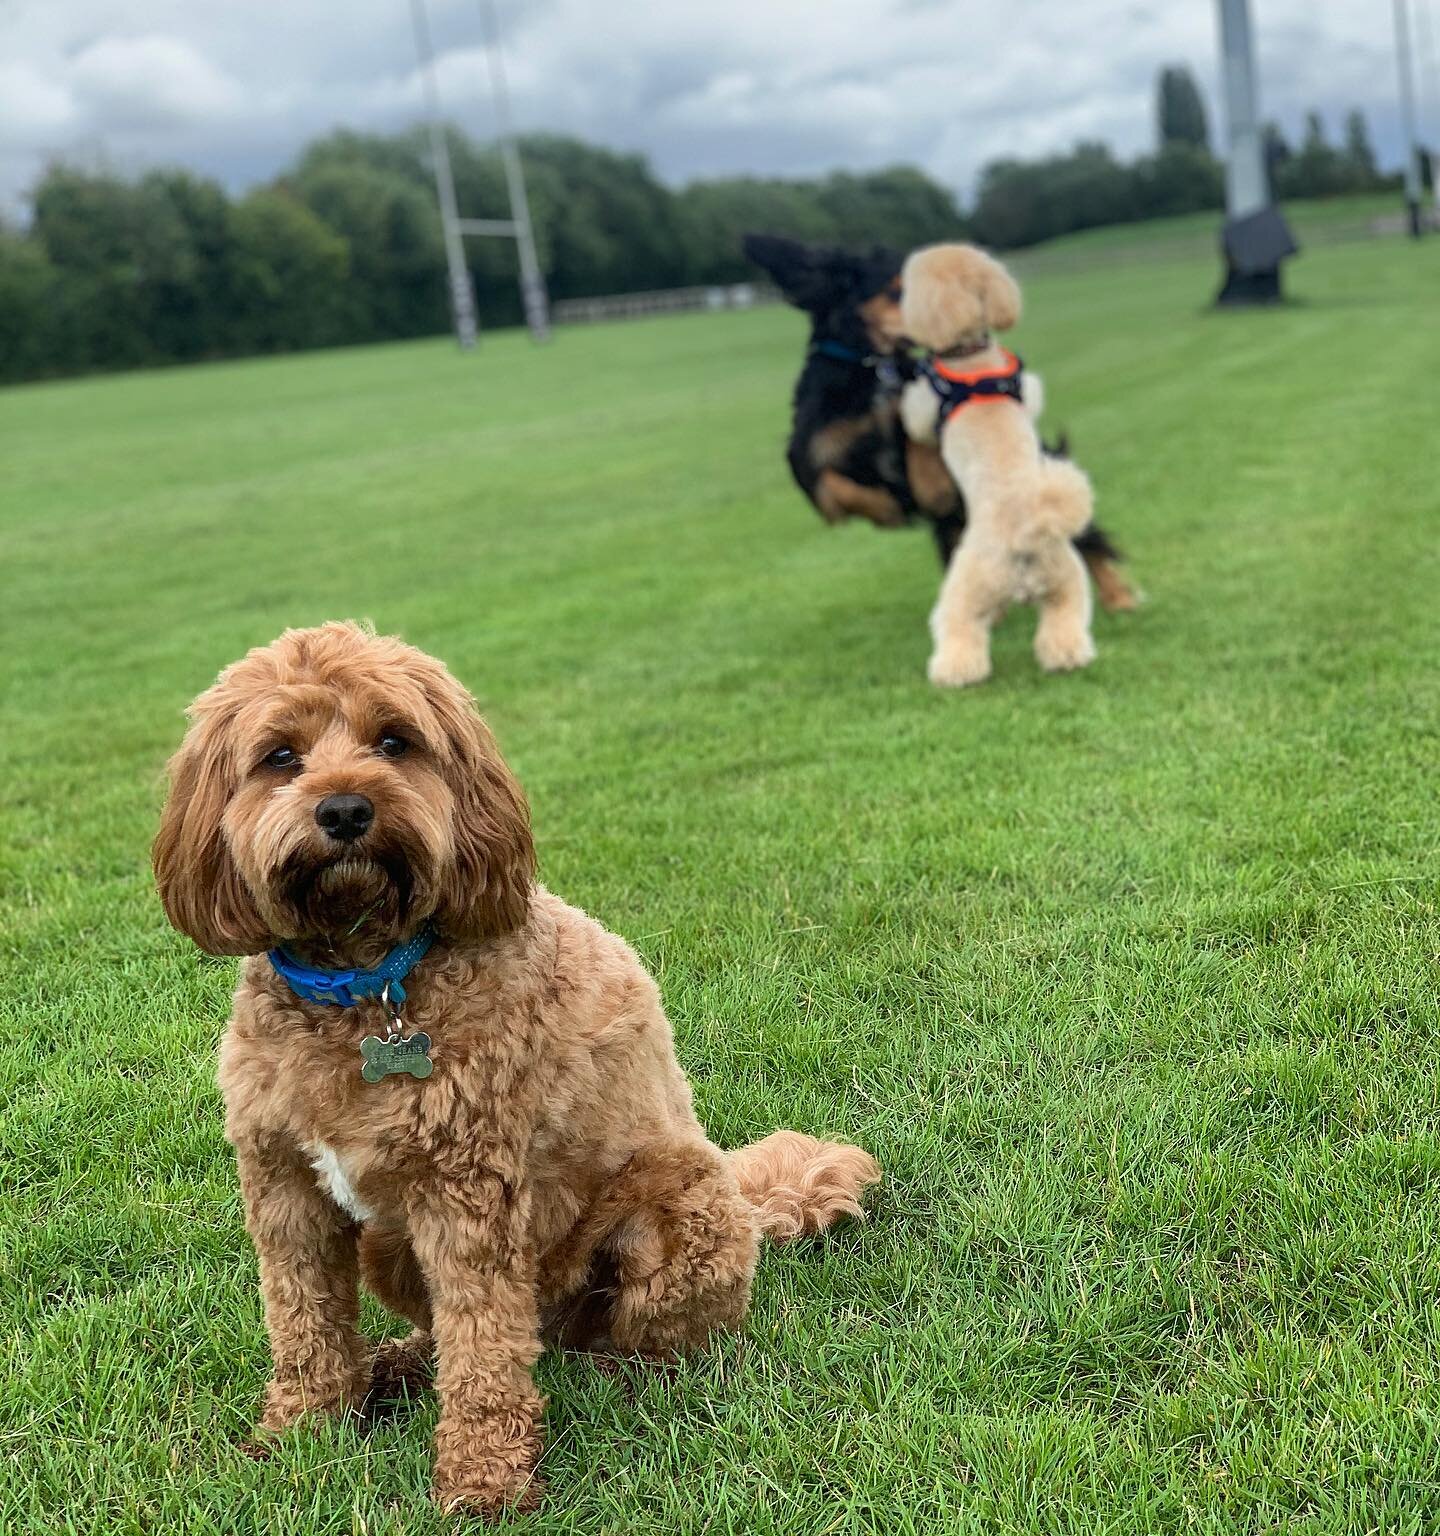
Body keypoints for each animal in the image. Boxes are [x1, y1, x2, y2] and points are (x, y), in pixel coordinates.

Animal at [154, 620, 878, 1511]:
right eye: (280, 756)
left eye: (394, 741)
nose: (347, 808)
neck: (367, 980)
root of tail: (747, 1200)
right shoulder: (285, 1186)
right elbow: (302, 1321)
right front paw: (304, 1431)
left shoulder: (469, 1200)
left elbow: (485, 1351)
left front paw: (484, 1480)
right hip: (387, 1244)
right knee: (457, 1330)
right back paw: (394, 1365)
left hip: (676, 1214)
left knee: (621, 1338)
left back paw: (618, 1377)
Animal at [739, 230, 1136, 608]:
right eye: (899, 291)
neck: (873, 369)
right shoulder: (806, 453)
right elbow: (831, 488)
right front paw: (887, 509)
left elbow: (920, 443)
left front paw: (926, 483)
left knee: (1086, 541)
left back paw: (1118, 596)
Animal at [896, 242, 1086, 688]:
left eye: (908, 287)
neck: (971, 358)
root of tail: (1028, 530)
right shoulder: (1028, 390)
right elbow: (1033, 395)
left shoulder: (925, 404)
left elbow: (914, 419)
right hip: (1066, 581)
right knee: (1065, 623)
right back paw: (1068, 656)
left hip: (967, 586)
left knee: (959, 629)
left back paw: (953, 671)